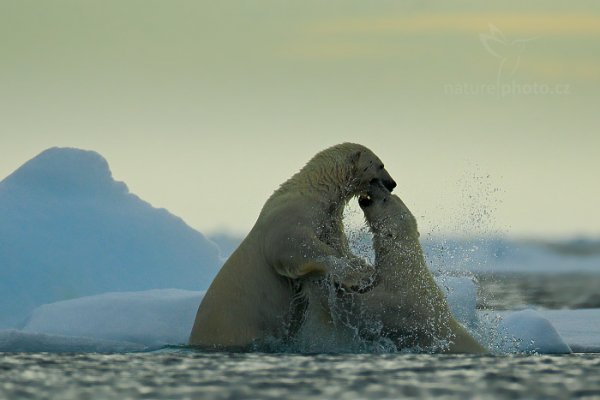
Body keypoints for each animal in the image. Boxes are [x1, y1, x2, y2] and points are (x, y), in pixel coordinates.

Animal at [190, 144, 396, 350]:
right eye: (381, 165)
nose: (392, 184)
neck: (314, 189)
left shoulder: (328, 222)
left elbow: (339, 247)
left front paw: (364, 267)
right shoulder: (290, 218)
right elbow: (296, 248)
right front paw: (359, 276)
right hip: (233, 327)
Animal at [352, 184, 488, 354]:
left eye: (385, 199)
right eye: (392, 196)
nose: (376, 186)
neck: (403, 271)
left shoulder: (395, 303)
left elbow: (368, 306)